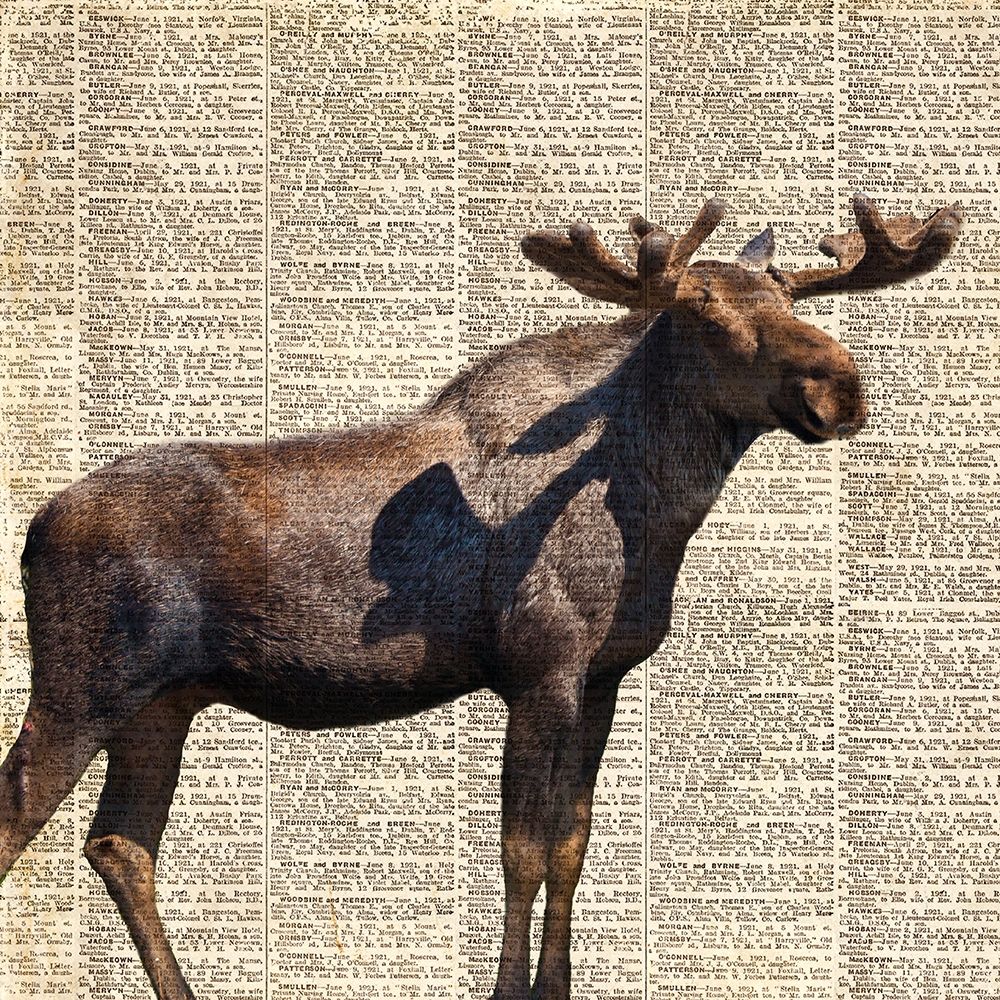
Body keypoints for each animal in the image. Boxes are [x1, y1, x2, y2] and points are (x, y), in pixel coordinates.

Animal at [0, 194, 961, 1000]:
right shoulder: (540, 669)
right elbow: (522, 852)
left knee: (120, 844)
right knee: (21, 811)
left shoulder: (604, 678)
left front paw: (559, 986)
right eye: (702, 310)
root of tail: (33, 530)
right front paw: (509, 992)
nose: (840, 386)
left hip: (163, 704)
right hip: (83, 687)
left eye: (791, 297)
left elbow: (573, 845)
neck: (652, 513)